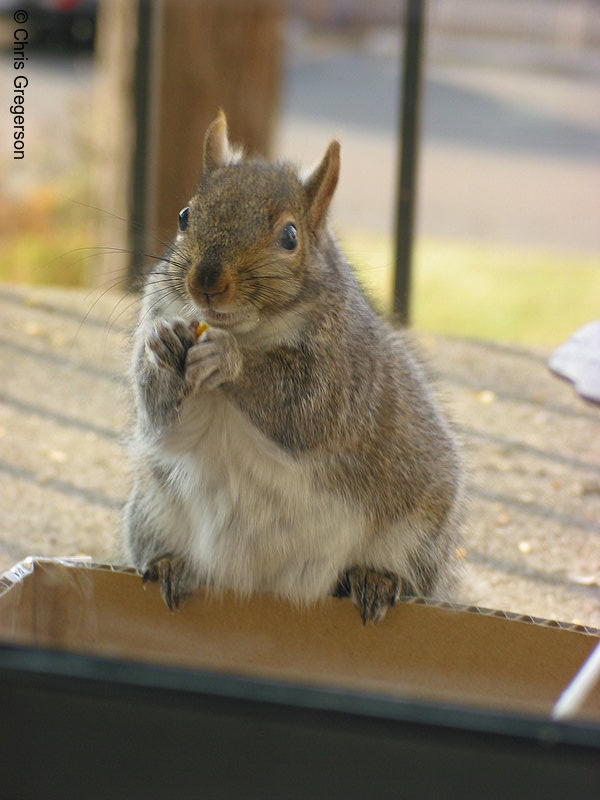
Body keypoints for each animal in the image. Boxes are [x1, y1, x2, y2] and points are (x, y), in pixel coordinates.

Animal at [124, 111, 464, 624]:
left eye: (289, 236)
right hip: (150, 510)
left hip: (419, 531)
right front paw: (164, 347)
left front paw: (229, 359)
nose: (206, 282)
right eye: (185, 216)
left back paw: (375, 579)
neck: (249, 330)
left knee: (404, 574)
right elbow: (167, 429)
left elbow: (303, 409)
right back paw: (170, 566)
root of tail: (269, 587)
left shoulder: (345, 374)